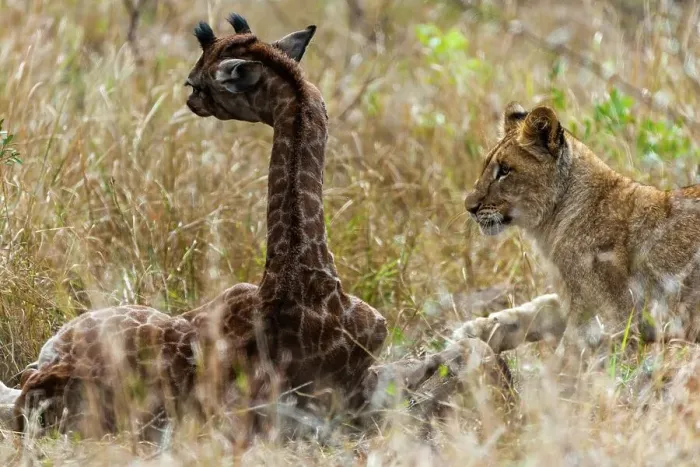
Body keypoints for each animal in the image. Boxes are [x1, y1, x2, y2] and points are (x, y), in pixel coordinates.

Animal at [459, 102, 700, 353]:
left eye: (505, 170)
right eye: (486, 166)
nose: (469, 207)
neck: (550, 225)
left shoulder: (611, 317)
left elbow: (567, 353)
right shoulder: (573, 299)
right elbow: (537, 309)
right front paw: (473, 332)